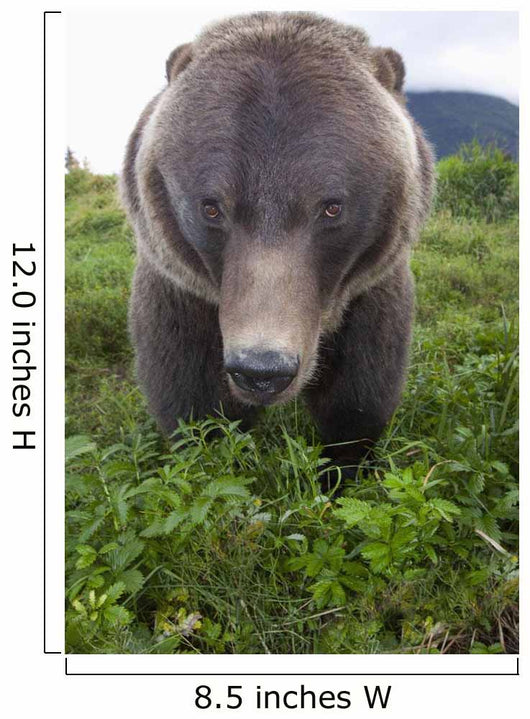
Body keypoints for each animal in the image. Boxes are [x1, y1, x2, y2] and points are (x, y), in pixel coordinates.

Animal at [121, 12, 434, 478]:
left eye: (331, 207)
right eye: (211, 207)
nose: (262, 369)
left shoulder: (369, 290)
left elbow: (360, 393)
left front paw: (344, 468)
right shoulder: (179, 288)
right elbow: (192, 397)